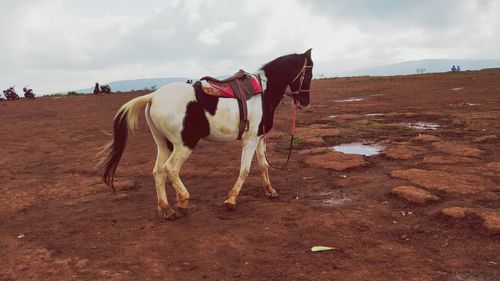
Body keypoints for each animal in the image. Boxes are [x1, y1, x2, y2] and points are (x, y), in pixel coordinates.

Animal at [97, 49, 312, 220]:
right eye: (309, 71)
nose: (305, 101)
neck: (264, 92)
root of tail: (153, 96)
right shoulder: (250, 140)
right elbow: (245, 170)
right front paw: (231, 200)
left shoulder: (259, 138)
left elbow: (264, 166)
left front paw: (271, 191)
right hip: (184, 144)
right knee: (170, 169)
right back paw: (183, 201)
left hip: (164, 144)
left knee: (158, 171)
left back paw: (167, 209)